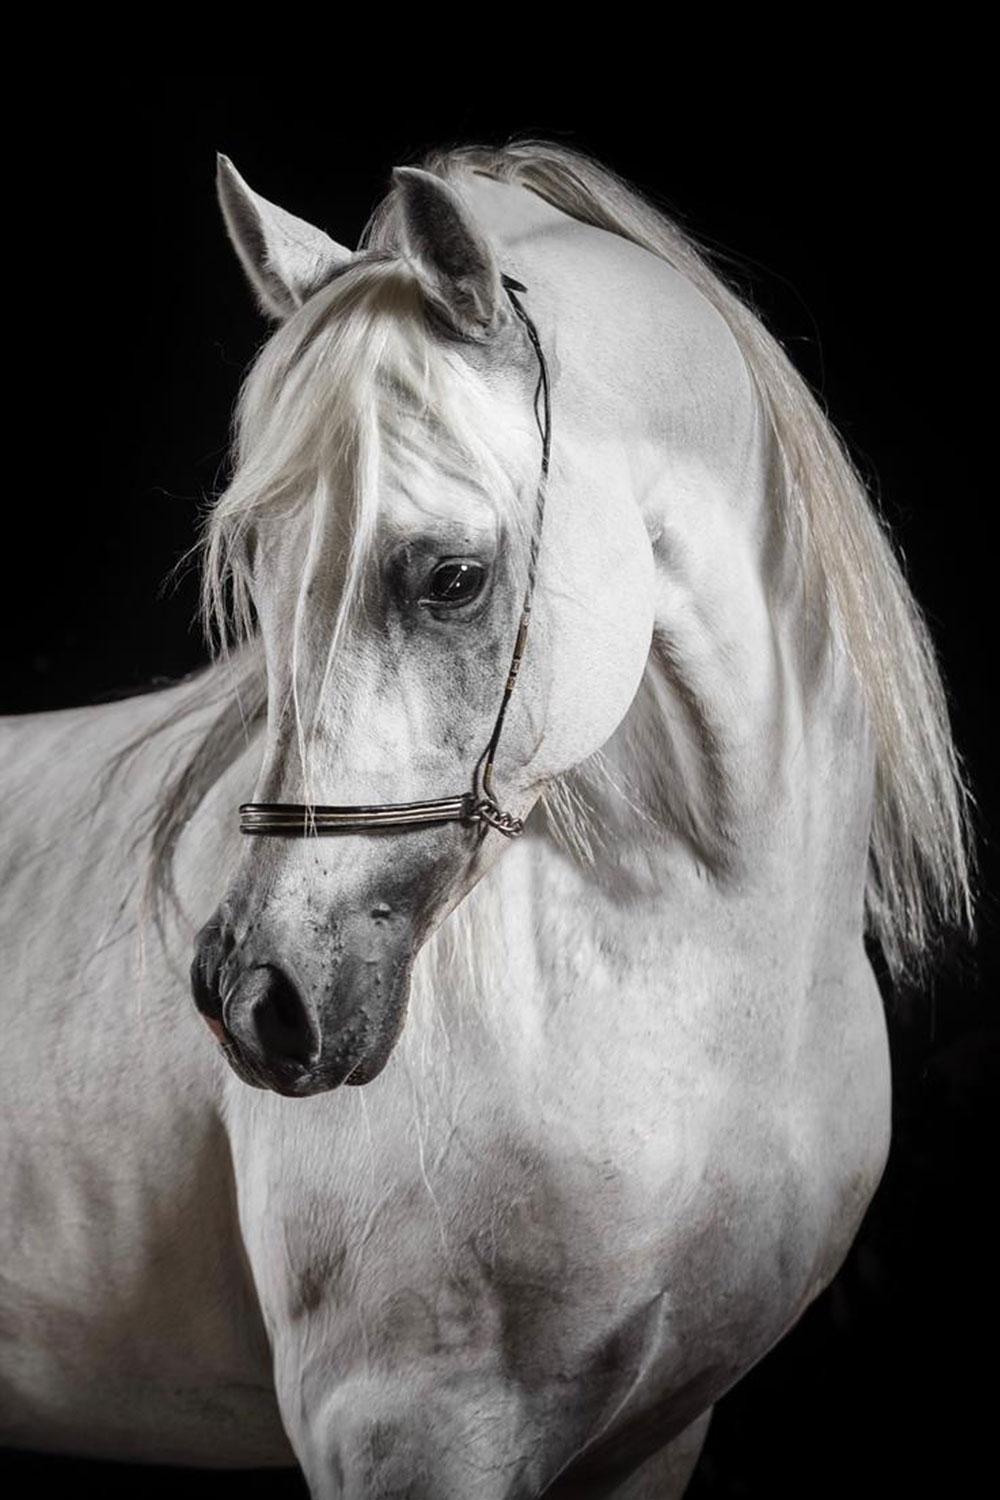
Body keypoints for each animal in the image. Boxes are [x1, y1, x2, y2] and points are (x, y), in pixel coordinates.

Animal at [0, 139, 973, 1498]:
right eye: (256, 566)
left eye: (452, 578)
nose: (255, 998)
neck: (693, 991)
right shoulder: (408, 1431)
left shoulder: (658, 1437)